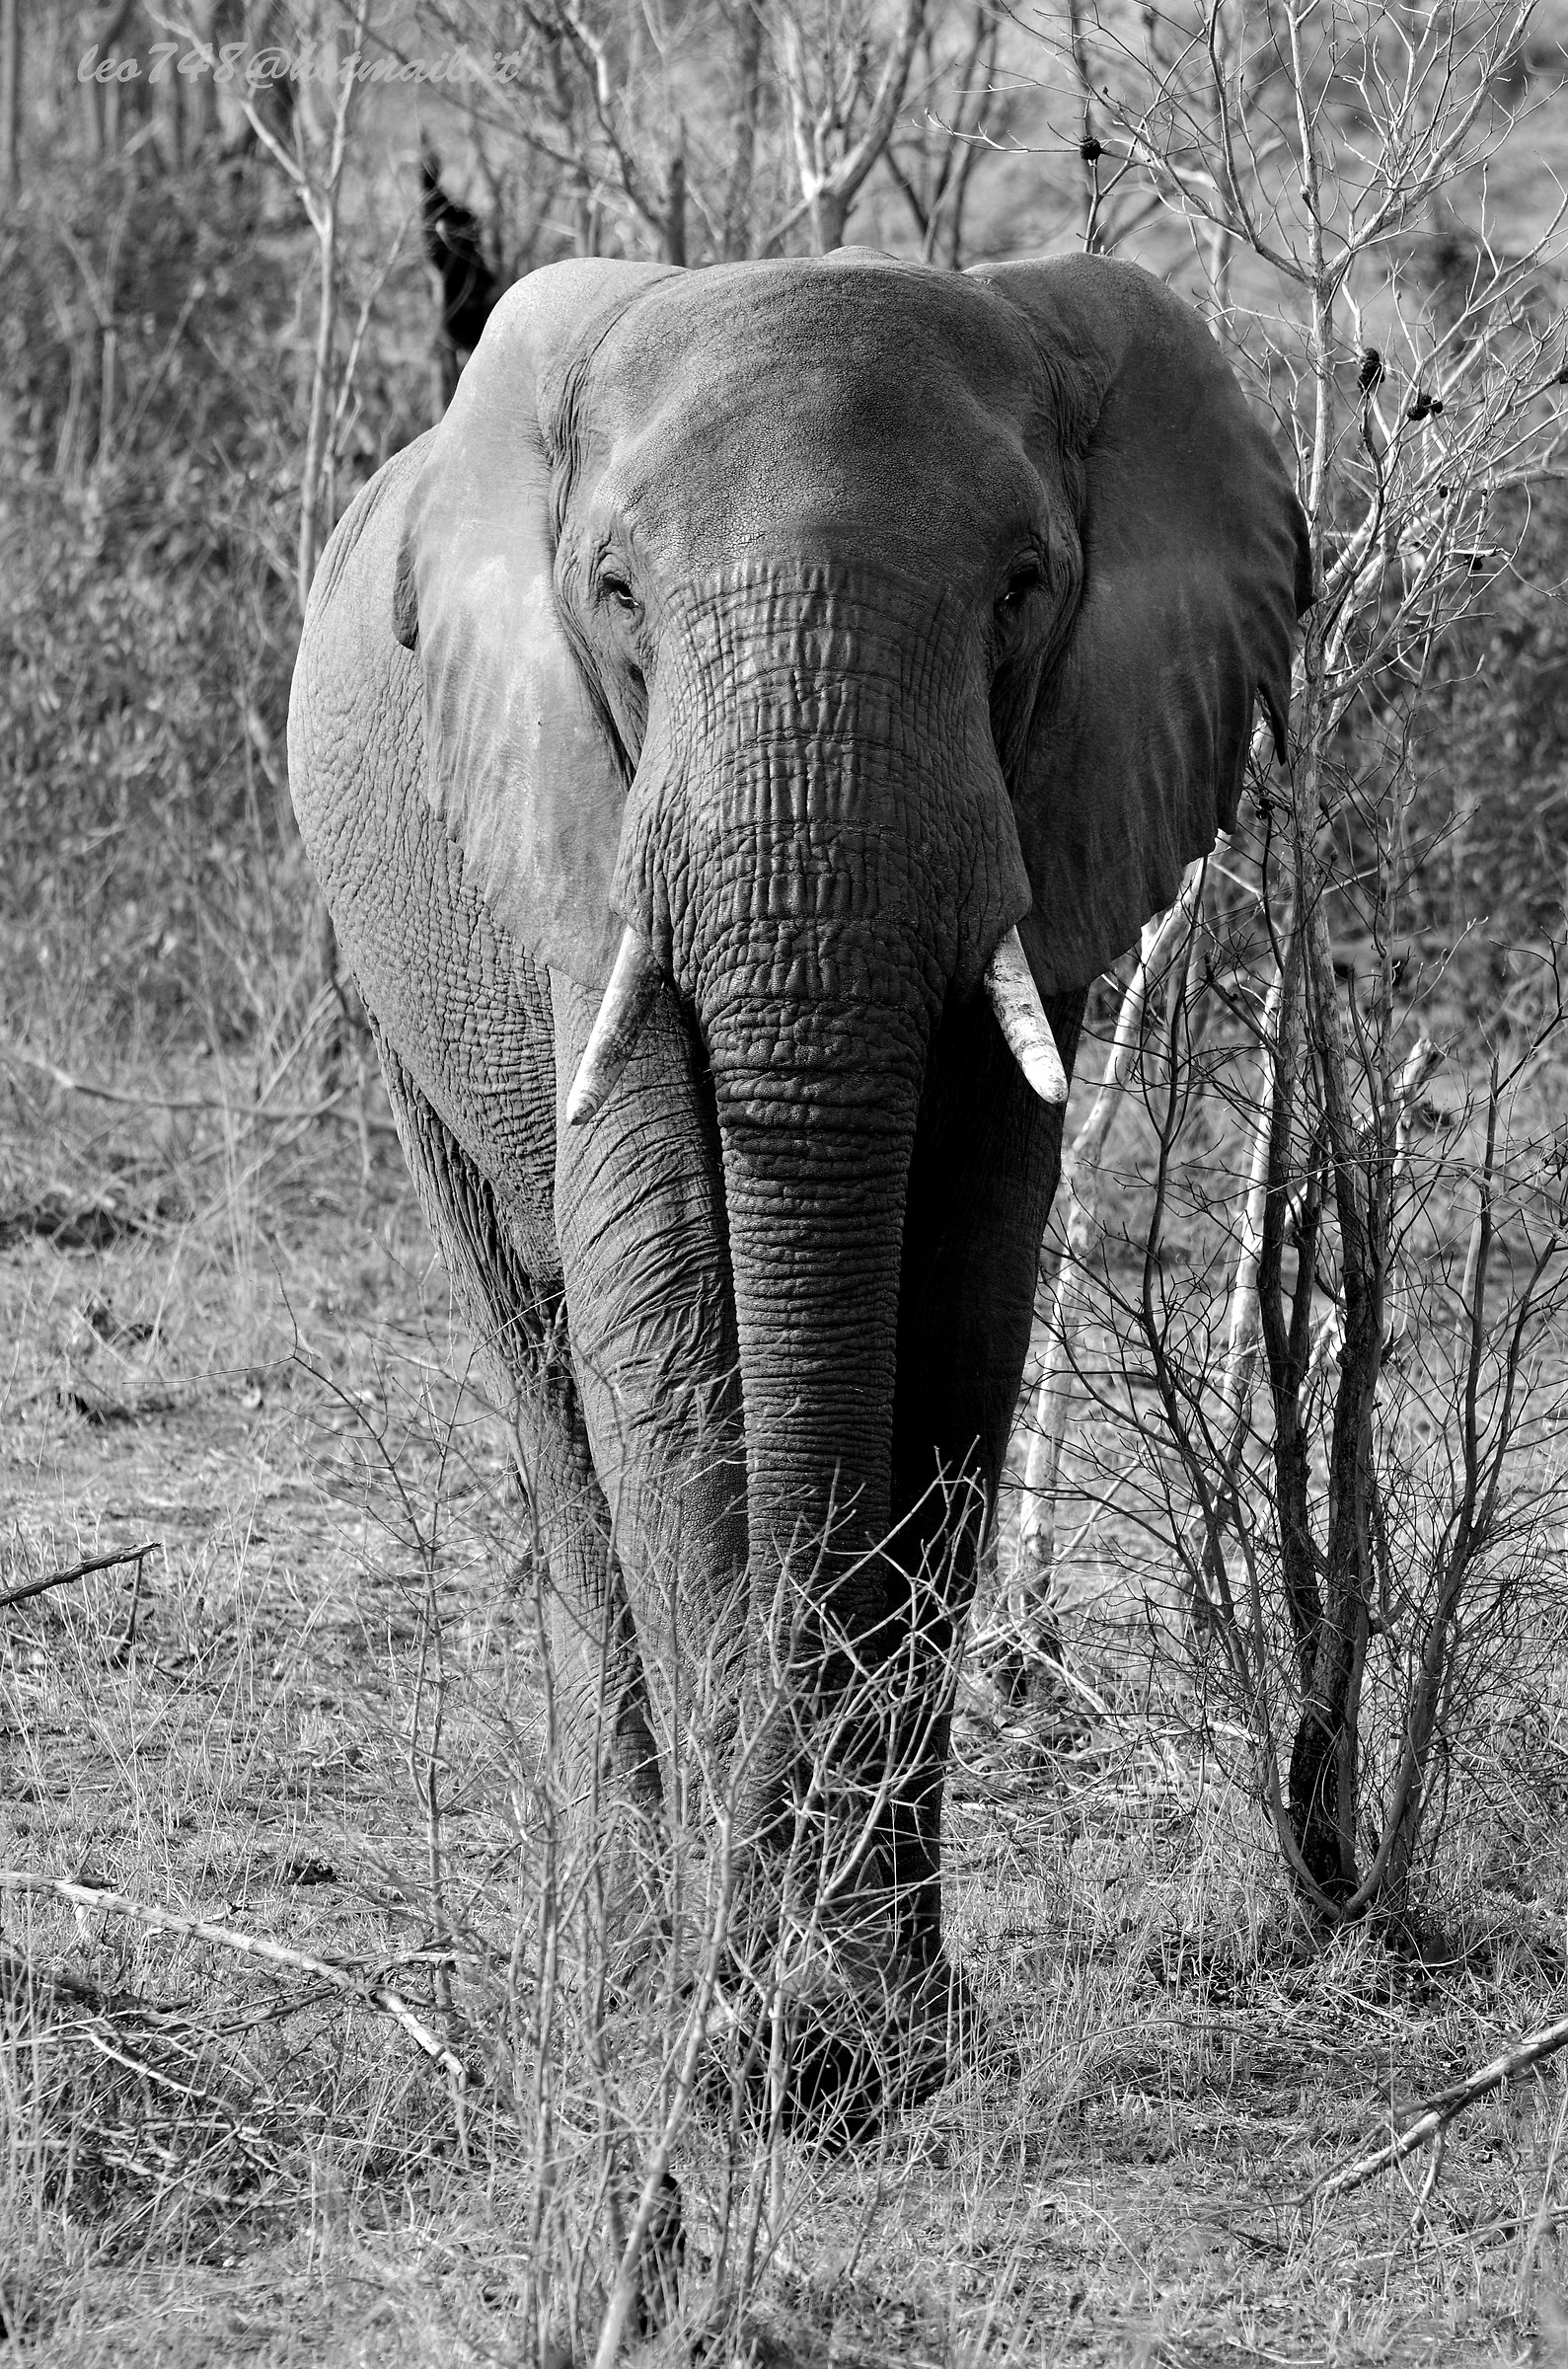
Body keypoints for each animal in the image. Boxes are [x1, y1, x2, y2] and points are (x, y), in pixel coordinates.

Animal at [288, 247, 1309, 2112]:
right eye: (615, 593)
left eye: (1020, 591)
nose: (779, 2035)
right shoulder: (574, 831)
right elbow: (673, 1333)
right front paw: (741, 2040)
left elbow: (961, 1325)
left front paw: (879, 2043)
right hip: (390, 986)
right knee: (551, 1400)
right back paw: (620, 1982)